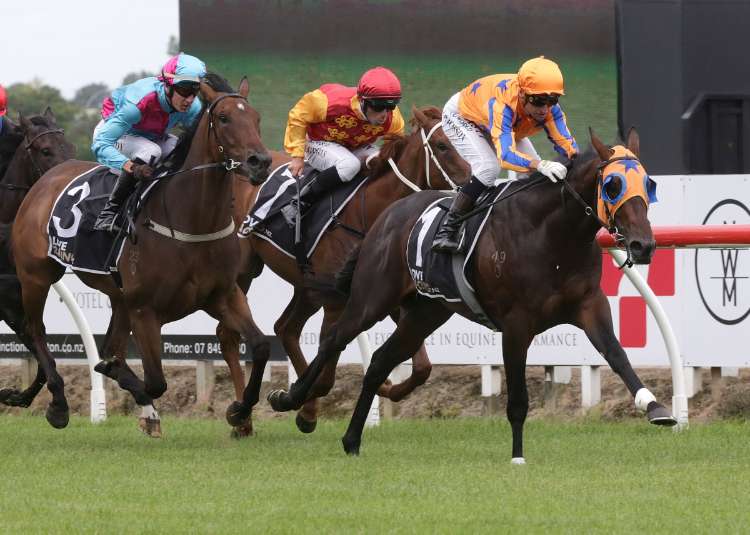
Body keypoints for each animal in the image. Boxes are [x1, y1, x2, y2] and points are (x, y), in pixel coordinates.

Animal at [11, 75, 272, 436]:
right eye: (224, 118)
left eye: (257, 118)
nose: (260, 162)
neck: (190, 222)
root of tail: (46, 178)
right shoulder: (145, 309)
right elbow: (153, 381)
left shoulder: (224, 295)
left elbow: (259, 346)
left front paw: (238, 411)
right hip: (36, 275)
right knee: (36, 330)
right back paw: (59, 404)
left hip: (117, 297)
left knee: (107, 347)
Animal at [217, 106, 472, 433]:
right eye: (442, 145)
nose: (473, 182)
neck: (372, 213)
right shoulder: (338, 302)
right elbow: (327, 372)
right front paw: (293, 398)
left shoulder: (386, 297)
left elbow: (422, 368)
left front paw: (385, 388)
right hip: (243, 271)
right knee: (229, 334)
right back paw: (241, 416)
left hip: (306, 286)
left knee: (286, 328)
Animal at [268, 127, 678, 461]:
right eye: (613, 185)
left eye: (649, 184)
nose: (642, 245)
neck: (553, 236)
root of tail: (387, 216)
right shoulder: (516, 324)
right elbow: (517, 399)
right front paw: (517, 456)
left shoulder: (590, 306)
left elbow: (616, 354)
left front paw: (655, 407)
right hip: (373, 298)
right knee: (334, 339)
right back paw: (291, 399)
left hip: (426, 313)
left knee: (380, 361)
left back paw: (351, 440)